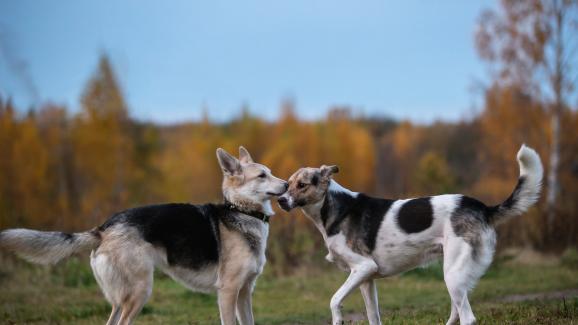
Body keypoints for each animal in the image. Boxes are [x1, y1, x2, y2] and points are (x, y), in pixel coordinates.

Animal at [0, 146, 288, 324]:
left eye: (271, 172)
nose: (287, 184)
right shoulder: (228, 292)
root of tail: (104, 228)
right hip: (139, 291)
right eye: (262, 175)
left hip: (122, 297)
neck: (242, 211)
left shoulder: (245, 292)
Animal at [276, 145, 544, 324]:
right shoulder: (366, 279)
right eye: (288, 183)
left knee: (467, 317)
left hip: (453, 274)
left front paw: (338, 318)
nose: (280, 200)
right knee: (456, 312)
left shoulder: (362, 268)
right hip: (455, 276)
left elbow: (334, 300)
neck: (333, 206)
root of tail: (482, 208)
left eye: (302, 185)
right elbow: (373, 316)